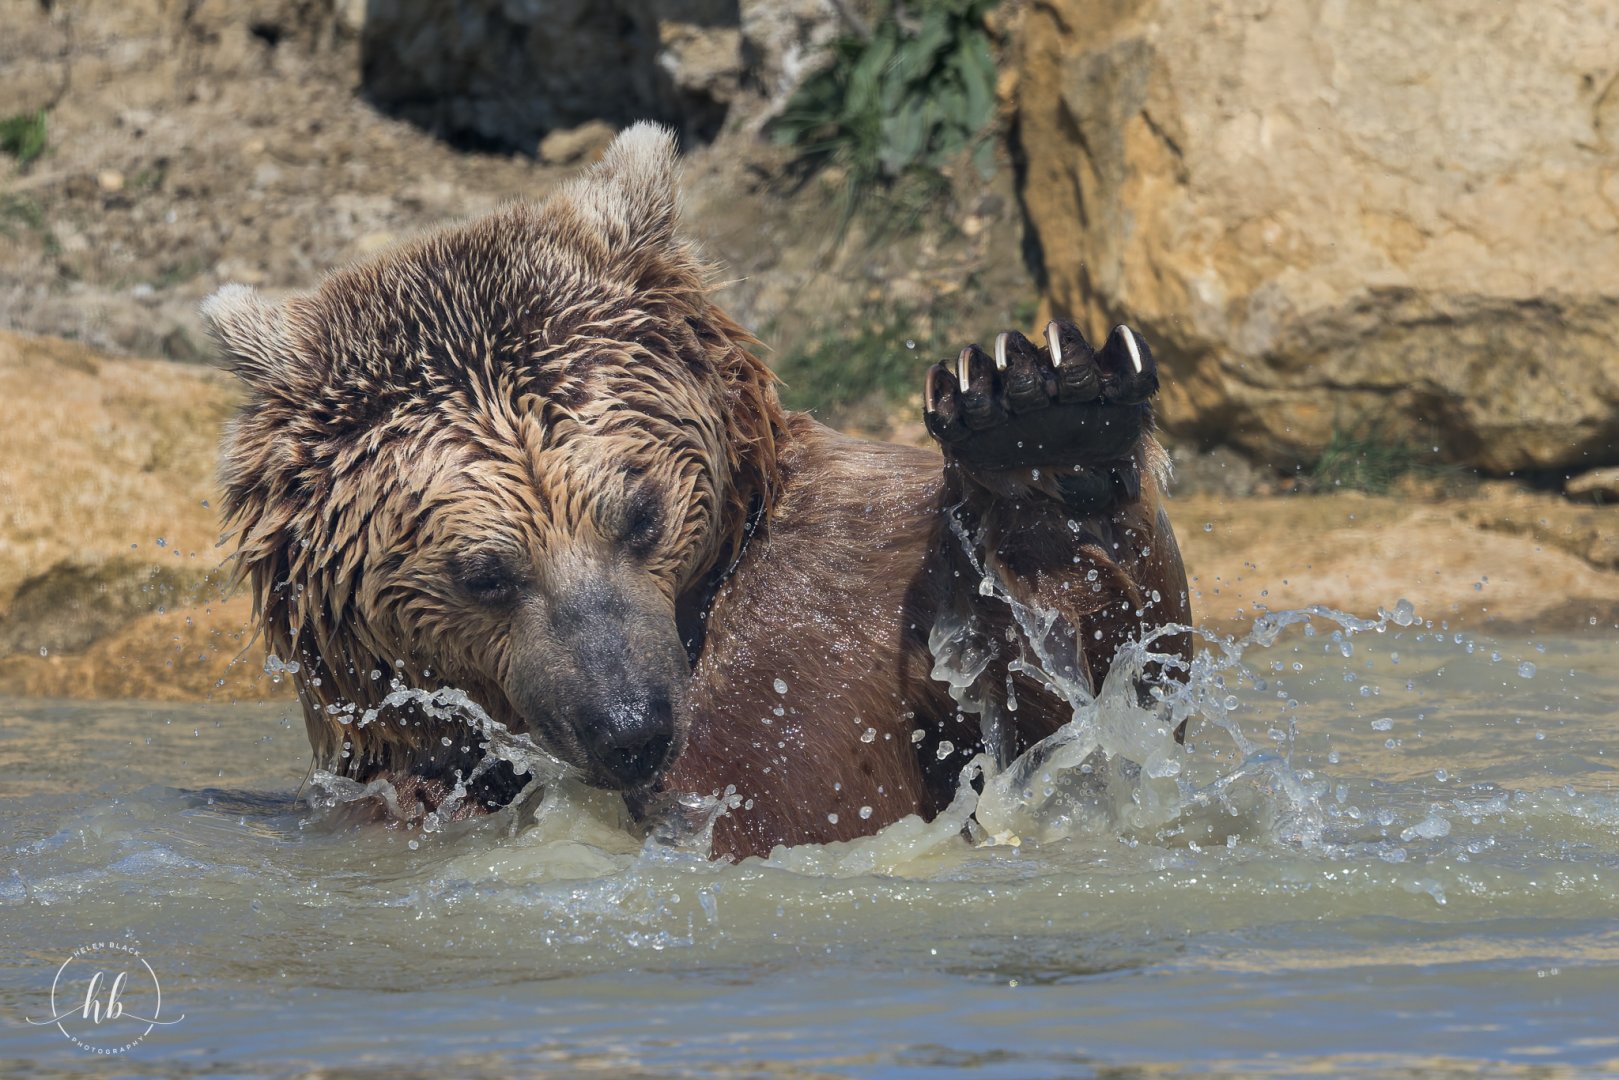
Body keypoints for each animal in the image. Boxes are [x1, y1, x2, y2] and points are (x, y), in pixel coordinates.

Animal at [203, 123, 1191, 860]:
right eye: (484, 572)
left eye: (638, 514)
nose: (629, 726)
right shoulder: (384, 774)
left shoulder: (865, 575)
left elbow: (1070, 717)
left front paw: (1044, 425)